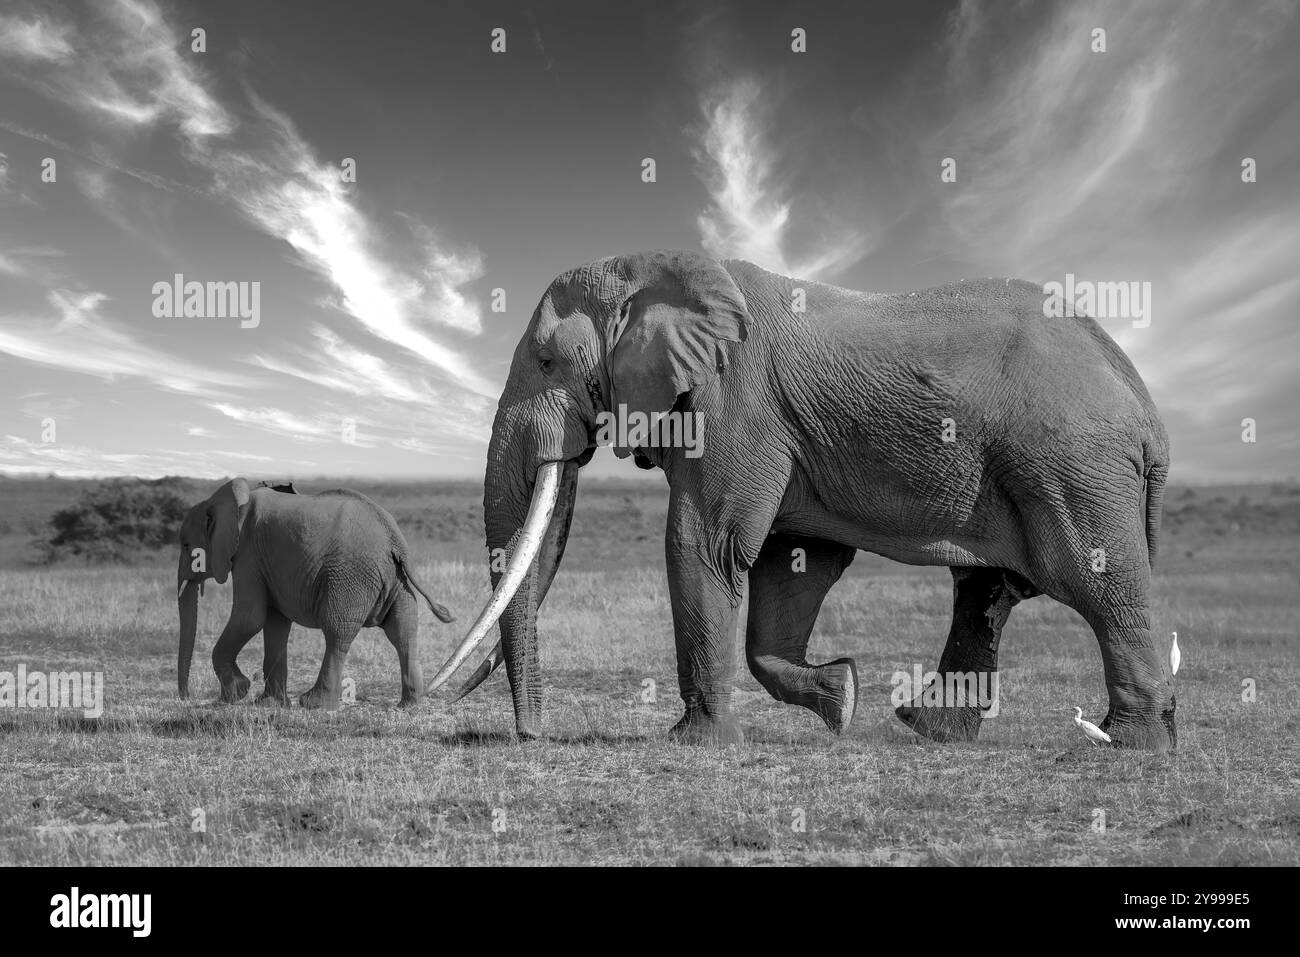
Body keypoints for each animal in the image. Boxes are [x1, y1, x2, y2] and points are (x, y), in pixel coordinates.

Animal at [172, 478, 454, 712]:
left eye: (186, 545)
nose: (186, 697)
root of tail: (394, 538)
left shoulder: (248, 553)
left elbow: (249, 617)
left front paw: (236, 693)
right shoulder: (267, 564)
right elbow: (275, 623)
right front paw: (270, 704)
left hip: (350, 576)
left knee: (337, 632)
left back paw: (315, 704)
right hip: (397, 580)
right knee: (403, 631)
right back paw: (409, 705)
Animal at [428, 250, 1180, 748]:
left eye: (547, 361)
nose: (530, 736)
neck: (651, 267)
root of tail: (1143, 401)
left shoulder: (736, 400)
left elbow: (703, 543)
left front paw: (692, 741)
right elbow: (794, 563)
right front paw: (842, 696)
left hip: (1074, 464)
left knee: (1094, 581)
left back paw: (1132, 742)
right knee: (986, 592)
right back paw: (929, 729)